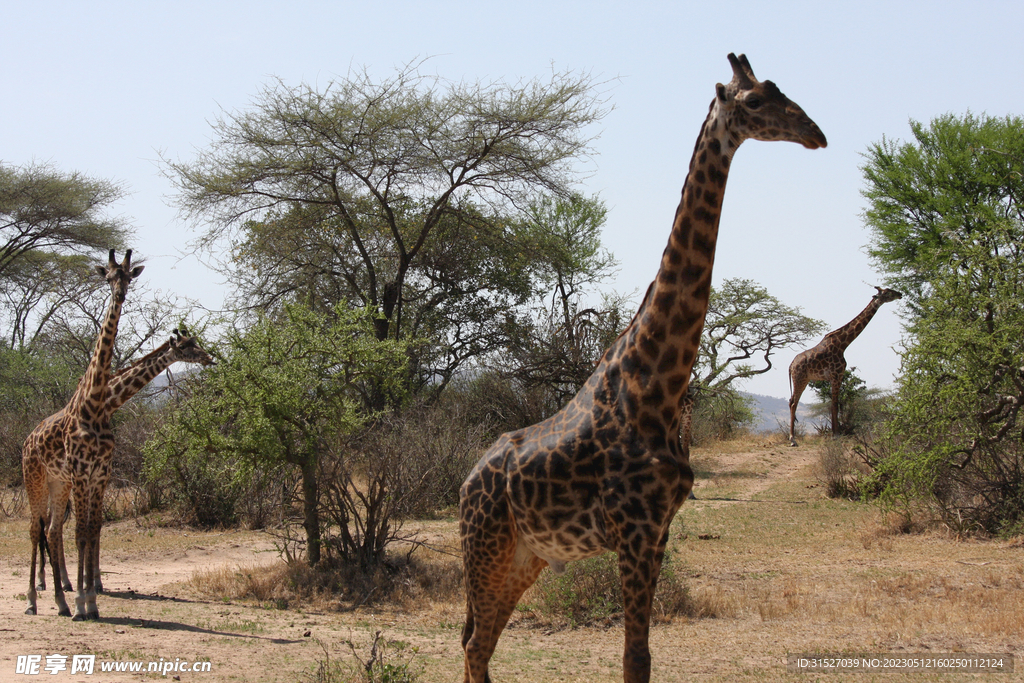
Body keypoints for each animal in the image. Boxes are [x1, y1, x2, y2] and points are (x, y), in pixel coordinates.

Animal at [24, 327, 211, 606]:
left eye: (196, 342)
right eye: (185, 347)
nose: (208, 357)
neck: (108, 403)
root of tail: (28, 438)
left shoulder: (102, 472)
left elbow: (97, 526)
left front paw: (96, 583)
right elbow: (88, 528)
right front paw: (91, 584)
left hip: (59, 482)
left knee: (51, 526)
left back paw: (62, 583)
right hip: (42, 481)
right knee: (42, 525)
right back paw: (43, 584)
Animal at [460, 52, 827, 683]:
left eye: (784, 92)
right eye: (755, 101)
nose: (815, 133)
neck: (656, 386)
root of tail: (464, 484)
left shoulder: (658, 531)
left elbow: (642, 658)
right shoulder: (634, 532)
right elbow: (635, 659)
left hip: (525, 557)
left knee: (477, 647)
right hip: (485, 550)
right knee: (471, 646)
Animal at [786, 286, 901, 446]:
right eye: (888, 292)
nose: (900, 294)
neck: (843, 344)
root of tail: (791, 365)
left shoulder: (835, 377)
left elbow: (834, 404)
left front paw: (836, 434)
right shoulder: (837, 375)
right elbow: (835, 404)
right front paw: (836, 435)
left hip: (804, 379)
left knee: (791, 401)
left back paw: (792, 437)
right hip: (800, 379)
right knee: (793, 403)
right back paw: (792, 439)